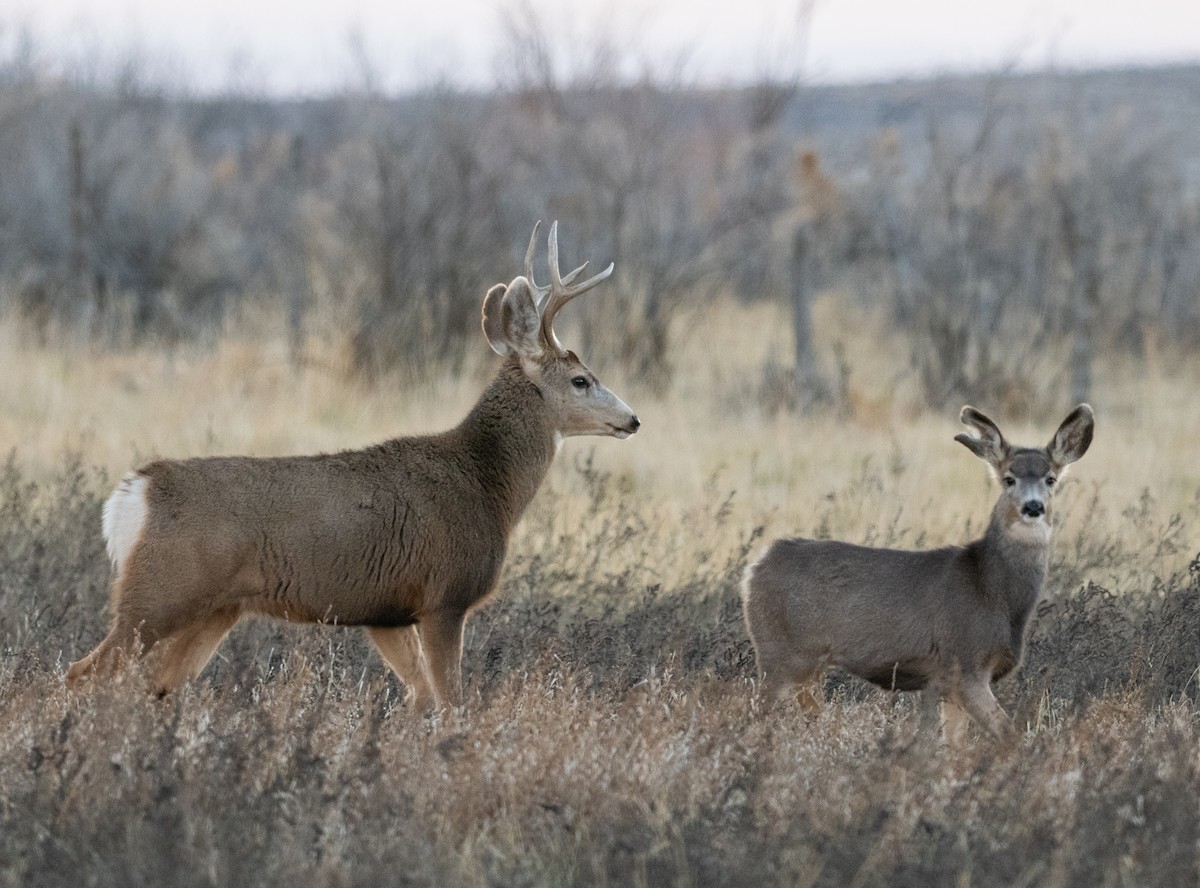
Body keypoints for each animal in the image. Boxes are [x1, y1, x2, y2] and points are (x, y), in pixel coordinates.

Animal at [66, 221, 640, 709]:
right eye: (581, 380)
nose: (632, 419)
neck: (487, 486)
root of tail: (134, 493)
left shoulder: (388, 613)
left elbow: (420, 697)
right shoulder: (444, 597)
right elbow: (452, 702)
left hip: (214, 608)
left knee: (157, 686)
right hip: (159, 593)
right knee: (81, 673)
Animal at [741, 404, 1094, 743]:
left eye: (1051, 479)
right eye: (1009, 478)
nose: (1033, 507)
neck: (993, 589)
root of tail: (754, 568)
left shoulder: (951, 683)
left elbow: (956, 746)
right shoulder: (965, 663)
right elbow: (1010, 735)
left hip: (805, 667)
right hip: (779, 653)